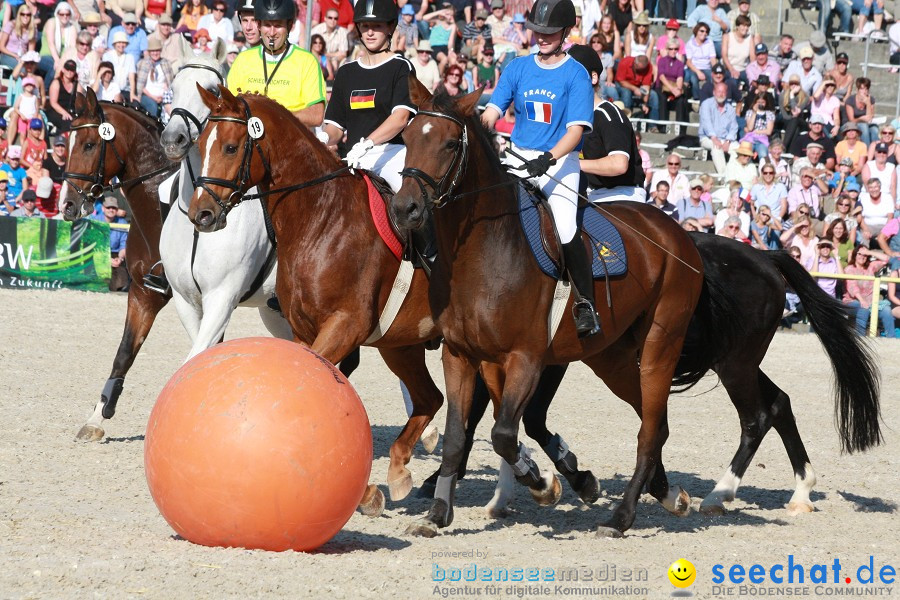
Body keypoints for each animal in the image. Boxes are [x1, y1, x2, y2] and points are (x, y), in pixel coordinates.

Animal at [187, 85, 446, 510]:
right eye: (199, 144)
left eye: (230, 147)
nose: (201, 214)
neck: (322, 220)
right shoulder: (304, 330)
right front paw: (364, 489)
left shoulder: (345, 325)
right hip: (401, 346)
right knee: (431, 398)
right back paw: (407, 474)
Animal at [390, 79, 708, 540]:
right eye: (409, 138)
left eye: (450, 143)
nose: (405, 209)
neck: (483, 251)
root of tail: (675, 232)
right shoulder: (460, 355)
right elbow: (456, 436)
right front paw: (437, 515)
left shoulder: (526, 358)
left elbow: (504, 433)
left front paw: (542, 483)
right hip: (610, 357)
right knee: (654, 422)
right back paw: (667, 495)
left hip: (660, 346)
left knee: (649, 430)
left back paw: (620, 517)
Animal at [426, 233, 884, 516]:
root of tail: (764, 257)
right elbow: (494, 417)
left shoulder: (547, 360)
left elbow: (524, 421)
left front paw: (568, 480)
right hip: (738, 361)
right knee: (780, 403)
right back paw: (801, 490)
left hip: (735, 365)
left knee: (757, 418)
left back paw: (720, 493)